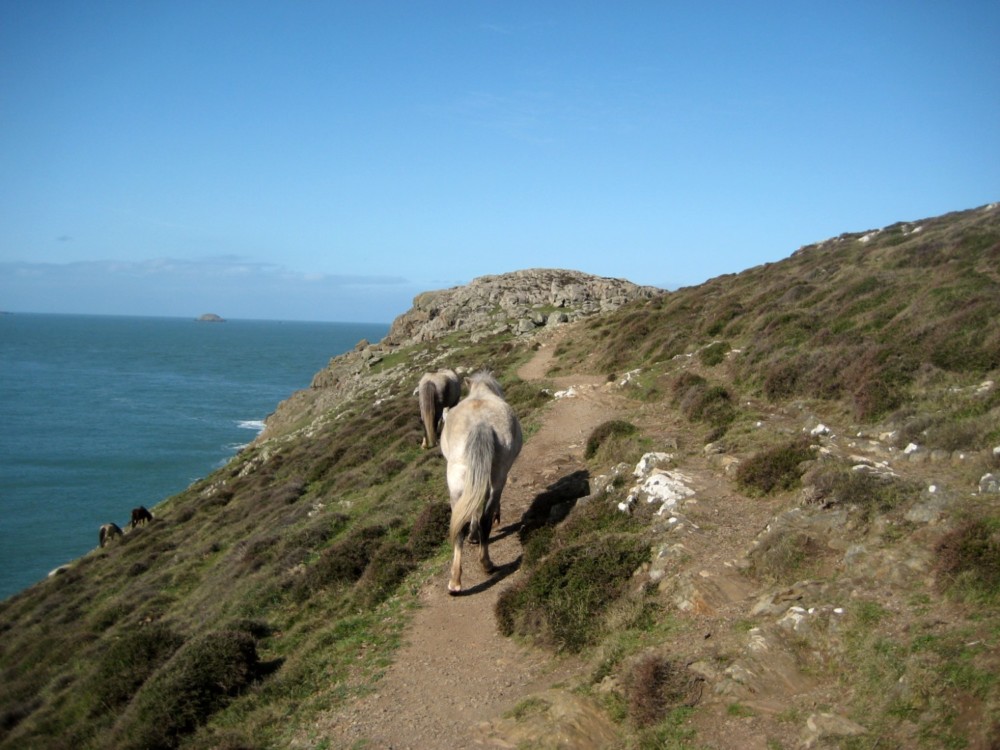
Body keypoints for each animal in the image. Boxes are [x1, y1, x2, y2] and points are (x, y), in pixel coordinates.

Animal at [439, 371, 522, 594]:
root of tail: (481, 423)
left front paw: (473, 535)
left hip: (457, 483)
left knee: (459, 524)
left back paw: (455, 582)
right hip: (498, 476)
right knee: (486, 513)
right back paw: (487, 564)